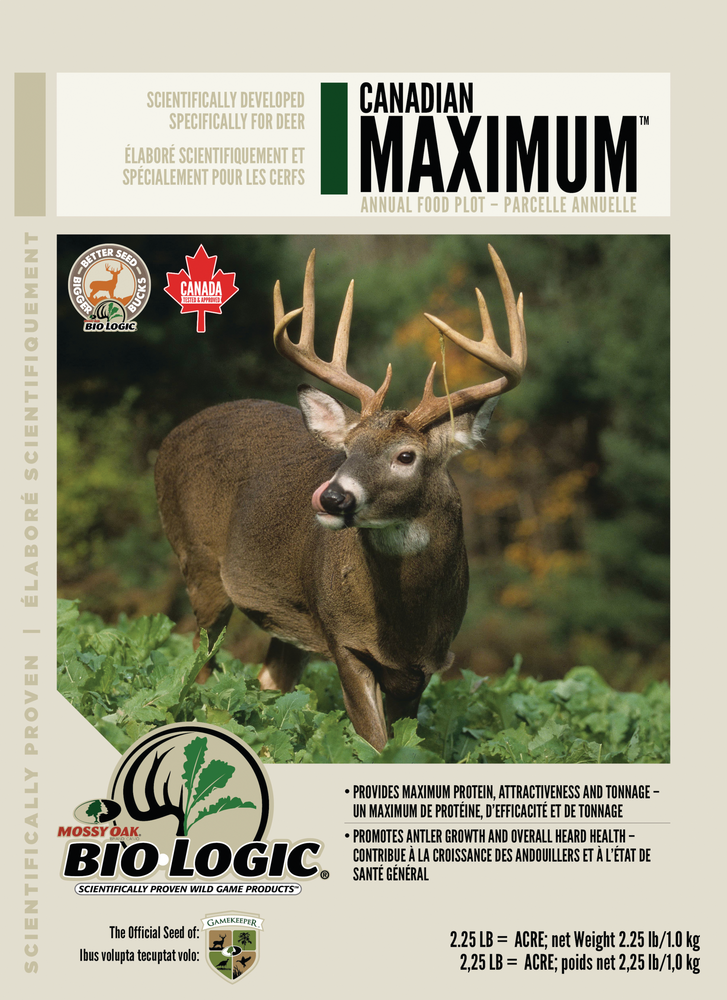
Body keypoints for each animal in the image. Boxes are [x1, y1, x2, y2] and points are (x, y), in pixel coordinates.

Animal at [154, 246, 526, 751]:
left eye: (405, 455)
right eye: (347, 450)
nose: (330, 497)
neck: (405, 622)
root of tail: (168, 442)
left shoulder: (427, 664)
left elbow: (400, 741)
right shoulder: (343, 638)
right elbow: (375, 742)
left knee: (271, 680)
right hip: (199, 562)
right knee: (199, 662)